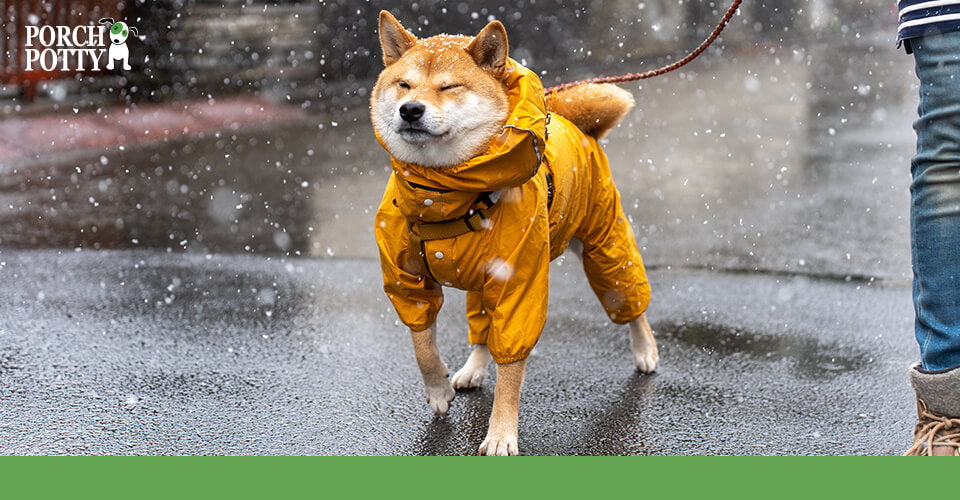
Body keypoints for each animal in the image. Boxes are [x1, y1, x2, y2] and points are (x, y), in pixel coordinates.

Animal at [372, 10, 656, 458]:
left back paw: (645, 349)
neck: (443, 194)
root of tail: (576, 124)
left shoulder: (520, 281)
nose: (410, 109)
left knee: (628, 297)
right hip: (484, 277)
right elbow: (423, 345)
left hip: (603, 242)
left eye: (449, 87)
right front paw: (438, 390)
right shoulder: (407, 278)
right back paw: (472, 369)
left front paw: (501, 434)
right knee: (481, 329)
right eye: (404, 84)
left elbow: (511, 368)